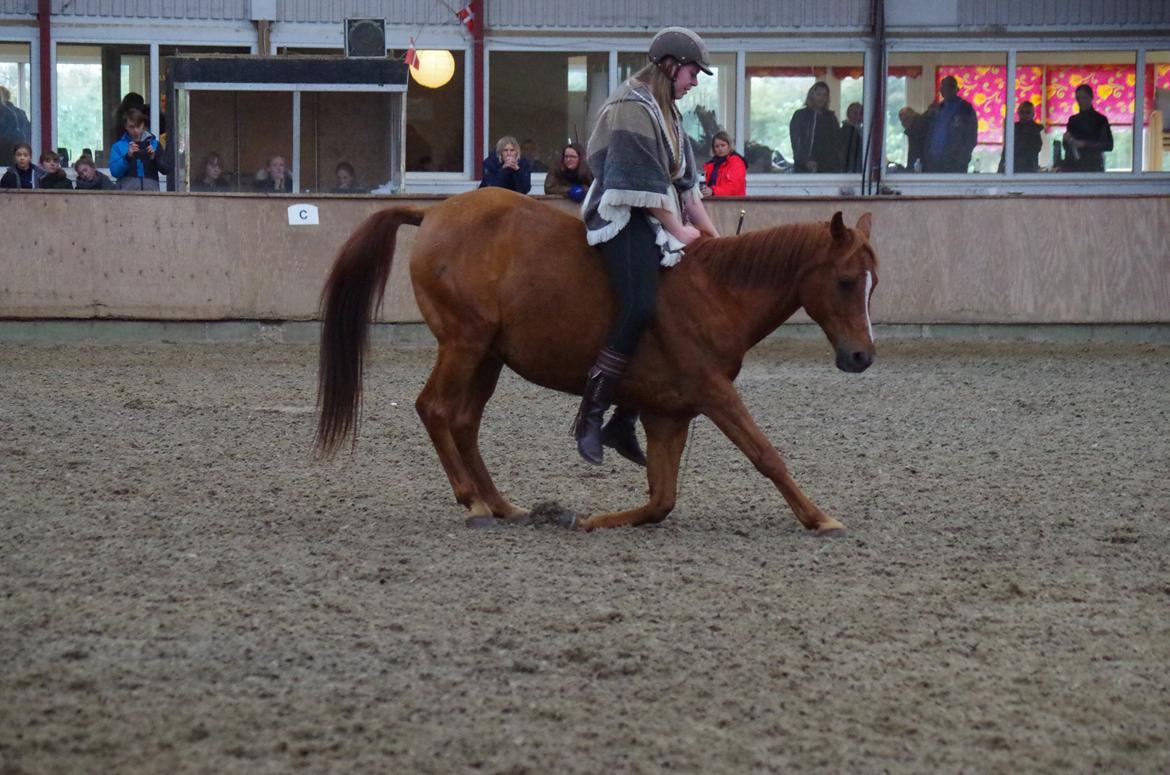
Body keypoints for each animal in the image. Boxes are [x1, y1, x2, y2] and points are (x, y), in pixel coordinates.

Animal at [315, 187, 875, 533]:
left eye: (873, 283)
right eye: (846, 281)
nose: (861, 356)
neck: (715, 291)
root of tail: (433, 213)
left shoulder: (670, 413)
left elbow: (661, 499)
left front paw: (593, 520)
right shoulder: (713, 392)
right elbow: (765, 454)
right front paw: (819, 518)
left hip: (488, 356)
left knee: (464, 422)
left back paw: (503, 504)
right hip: (463, 344)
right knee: (434, 409)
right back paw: (472, 501)